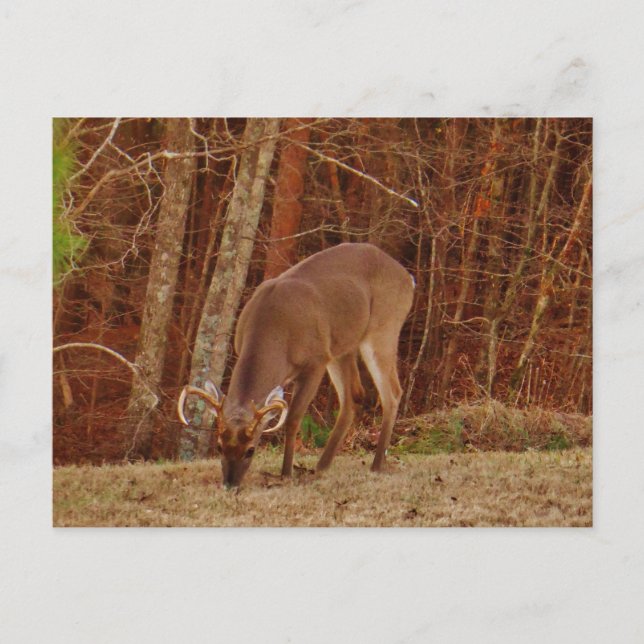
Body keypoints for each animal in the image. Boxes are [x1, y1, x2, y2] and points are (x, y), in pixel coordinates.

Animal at [177, 243, 414, 488]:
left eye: (251, 450)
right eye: (220, 447)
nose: (230, 484)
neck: (275, 332)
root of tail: (407, 277)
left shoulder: (315, 361)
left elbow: (292, 418)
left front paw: (286, 472)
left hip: (383, 328)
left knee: (392, 392)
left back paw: (376, 465)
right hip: (341, 347)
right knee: (353, 397)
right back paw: (322, 466)